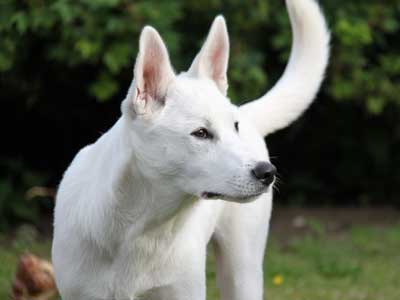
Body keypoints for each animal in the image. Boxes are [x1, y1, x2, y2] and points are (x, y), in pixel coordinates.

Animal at [51, 0, 330, 300]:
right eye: (201, 133)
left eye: (235, 127)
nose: (268, 173)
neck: (141, 227)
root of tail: (247, 111)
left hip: (242, 269)